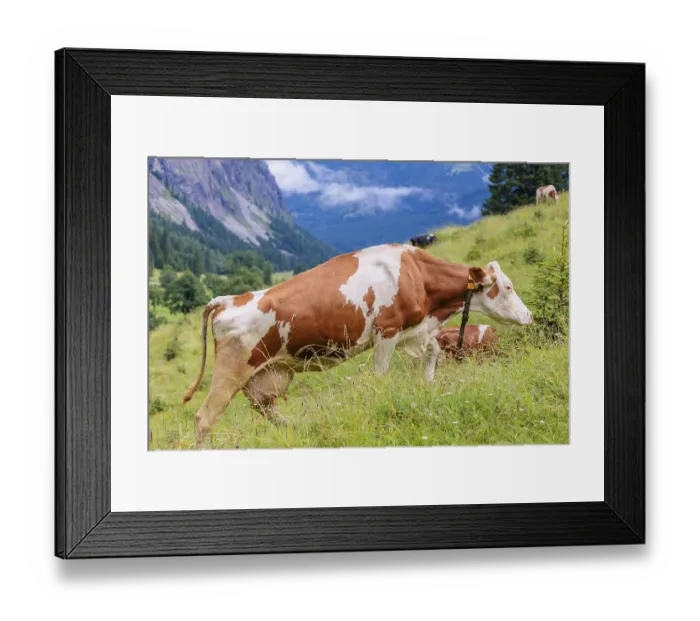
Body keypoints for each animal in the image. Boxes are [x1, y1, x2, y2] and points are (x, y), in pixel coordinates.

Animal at [183, 244, 533, 443]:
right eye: (508, 287)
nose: (529, 315)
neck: (416, 274)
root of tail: (228, 299)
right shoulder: (387, 332)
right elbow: (379, 378)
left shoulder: (413, 331)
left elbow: (433, 351)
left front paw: (429, 383)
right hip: (231, 371)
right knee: (204, 419)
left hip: (263, 374)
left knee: (264, 407)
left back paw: (299, 431)